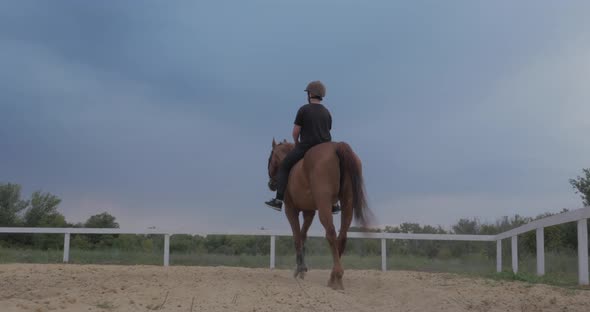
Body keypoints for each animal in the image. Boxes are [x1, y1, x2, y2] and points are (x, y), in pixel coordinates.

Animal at [268, 138, 374, 290]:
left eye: (270, 158)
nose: (271, 184)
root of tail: (337, 146)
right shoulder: (309, 212)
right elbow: (303, 236)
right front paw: (301, 269)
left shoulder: (291, 210)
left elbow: (296, 237)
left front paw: (300, 269)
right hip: (347, 202)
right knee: (342, 237)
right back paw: (332, 277)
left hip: (324, 204)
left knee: (331, 233)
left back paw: (337, 276)